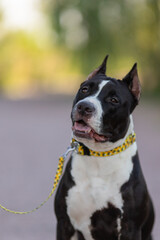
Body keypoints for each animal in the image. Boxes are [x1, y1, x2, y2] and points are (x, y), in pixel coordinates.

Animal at [54, 55, 154, 240]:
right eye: (84, 89)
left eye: (113, 100)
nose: (84, 107)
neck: (99, 157)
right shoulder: (65, 223)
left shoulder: (130, 228)